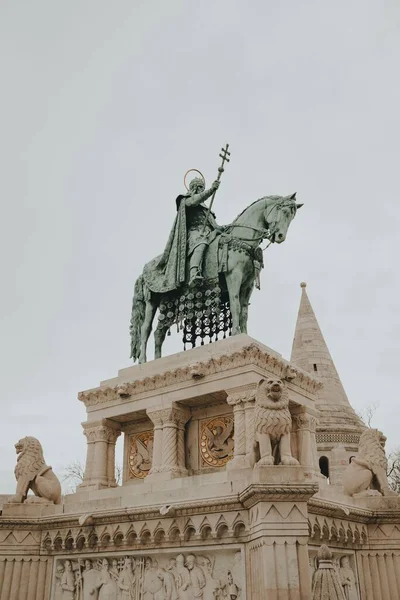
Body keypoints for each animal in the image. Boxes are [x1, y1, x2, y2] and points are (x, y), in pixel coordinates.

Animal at [130, 193, 302, 360]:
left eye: (292, 217)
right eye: (284, 211)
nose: (280, 236)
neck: (241, 239)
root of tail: (142, 273)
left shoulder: (248, 284)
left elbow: (244, 311)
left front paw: (245, 334)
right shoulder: (233, 276)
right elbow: (235, 304)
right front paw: (236, 333)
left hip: (168, 302)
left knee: (159, 332)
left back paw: (157, 359)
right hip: (152, 301)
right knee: (146, 329)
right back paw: (143, 361)